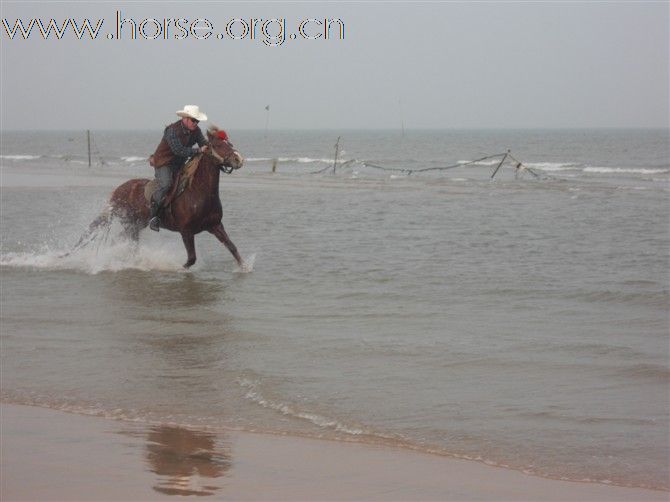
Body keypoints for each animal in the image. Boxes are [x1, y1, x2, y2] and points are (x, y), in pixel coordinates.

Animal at [75, 127, 247, 268]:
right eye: (218, 146)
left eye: (230, 144)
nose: (239, 159)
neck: (199, 192)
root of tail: (118, 190)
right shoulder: (186, 231)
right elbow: (191, 259)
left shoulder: (215, 226)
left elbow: (232, 247)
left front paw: (244, 268)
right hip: (130, 224)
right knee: (126, 243)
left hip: (137, 224)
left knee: (123, 242)